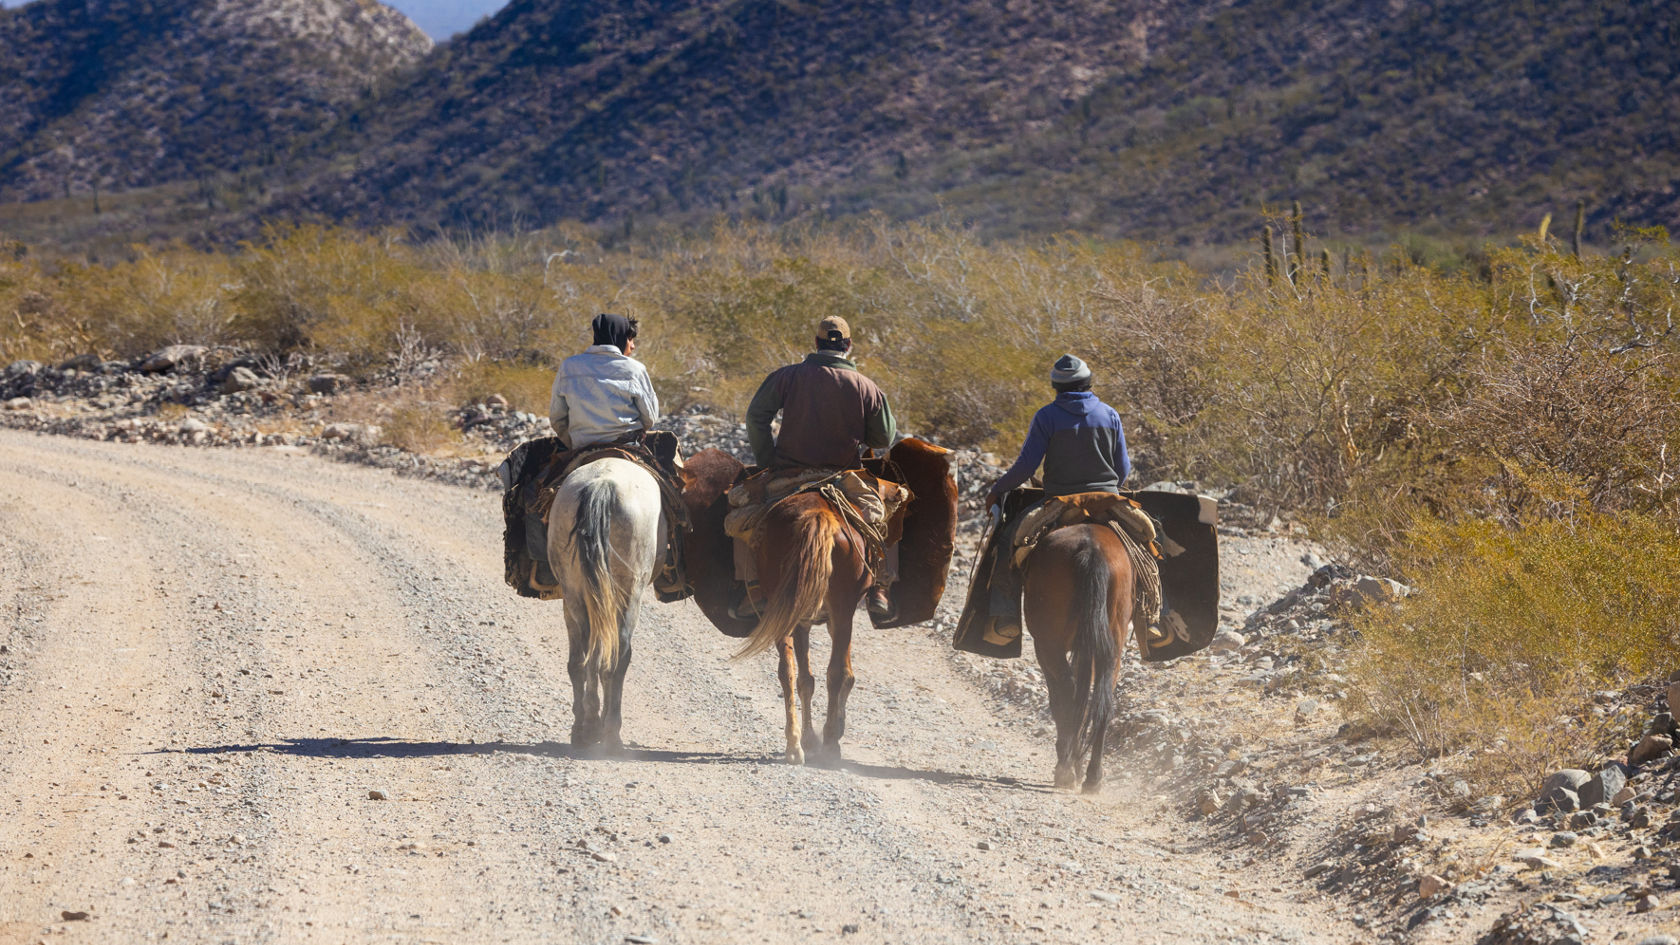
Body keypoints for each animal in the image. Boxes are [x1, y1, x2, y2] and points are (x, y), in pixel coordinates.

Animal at [544, 457, 661, 749]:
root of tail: (603, 483)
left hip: (575, 592)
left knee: (583, 659)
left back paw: (586, 728)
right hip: (630, 593)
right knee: (616, 658)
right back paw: (608, 732)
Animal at [1014, 521, 1135, 786]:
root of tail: (1092, 550)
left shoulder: (1043, 647)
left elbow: (1060, 699)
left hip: (1050, 644)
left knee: (1067, 695)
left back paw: (1066, 768)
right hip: (1113, 645)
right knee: (1103, 700)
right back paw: (1092, 776)